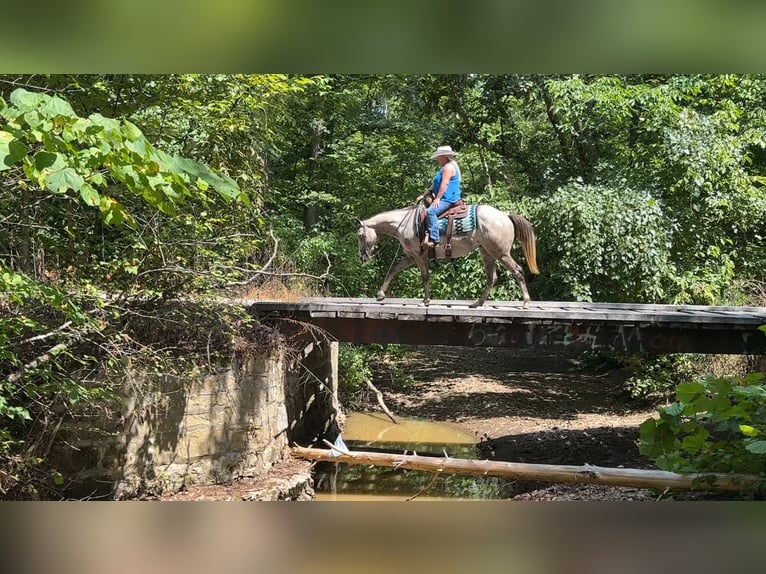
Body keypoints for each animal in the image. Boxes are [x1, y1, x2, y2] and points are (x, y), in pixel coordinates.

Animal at [357, 201, 539, 307]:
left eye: (360, 235)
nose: (362, 256)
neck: (404, 224)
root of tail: (505, 215)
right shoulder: (411, 256)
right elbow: (394, 269)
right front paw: (380, 295)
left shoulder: (419, 255)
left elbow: (425, 277)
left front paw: (425, 301)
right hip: (487, 252)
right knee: (491, 278)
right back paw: (477, 303)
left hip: (501, 253)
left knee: (517, 271)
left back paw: (525, 302)